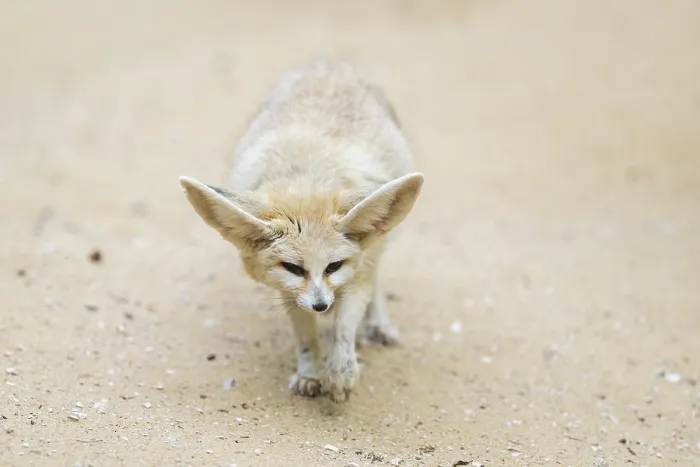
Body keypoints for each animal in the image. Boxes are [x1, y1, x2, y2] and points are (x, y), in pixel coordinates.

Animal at [178, 58, 424, 403]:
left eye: (334, 266)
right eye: (294, 268)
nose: (321, 306)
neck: (307, 176)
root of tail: (327, 62)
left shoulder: (356, 269)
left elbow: (345, 324)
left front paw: (341, 370)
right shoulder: (290, 290)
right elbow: (306, 335)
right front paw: (312, 373)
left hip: (378, 243)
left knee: (375, 280)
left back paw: (377, 324)